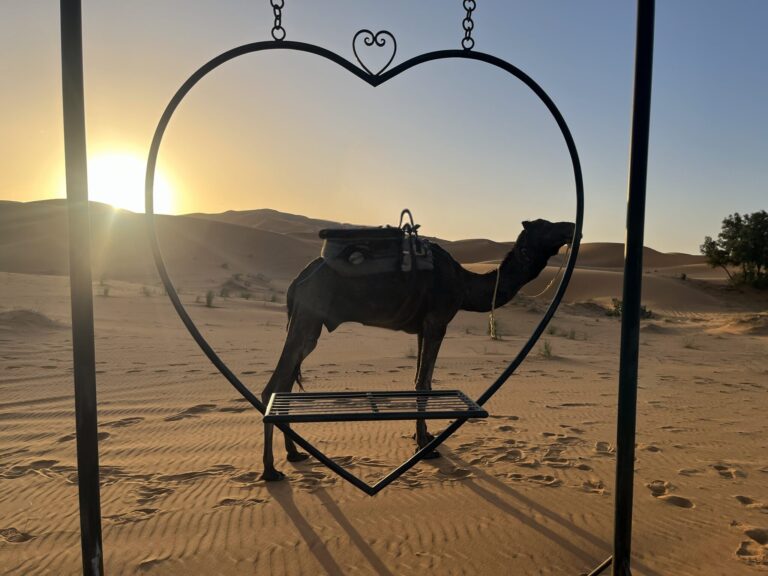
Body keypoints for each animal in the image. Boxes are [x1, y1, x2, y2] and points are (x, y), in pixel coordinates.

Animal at [261, 218, 576, 480]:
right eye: (545, 225)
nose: (572, 226)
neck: (465, 284)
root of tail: (297, 281)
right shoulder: (437, 321)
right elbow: (424, 382)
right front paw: (426, 446)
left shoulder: (423, 327)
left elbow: (419, 381)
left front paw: (421, 437)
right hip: (308, 316)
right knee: (273, 387)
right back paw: (271, 470)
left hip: (307, 323)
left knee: (285, 384)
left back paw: (294, 454)